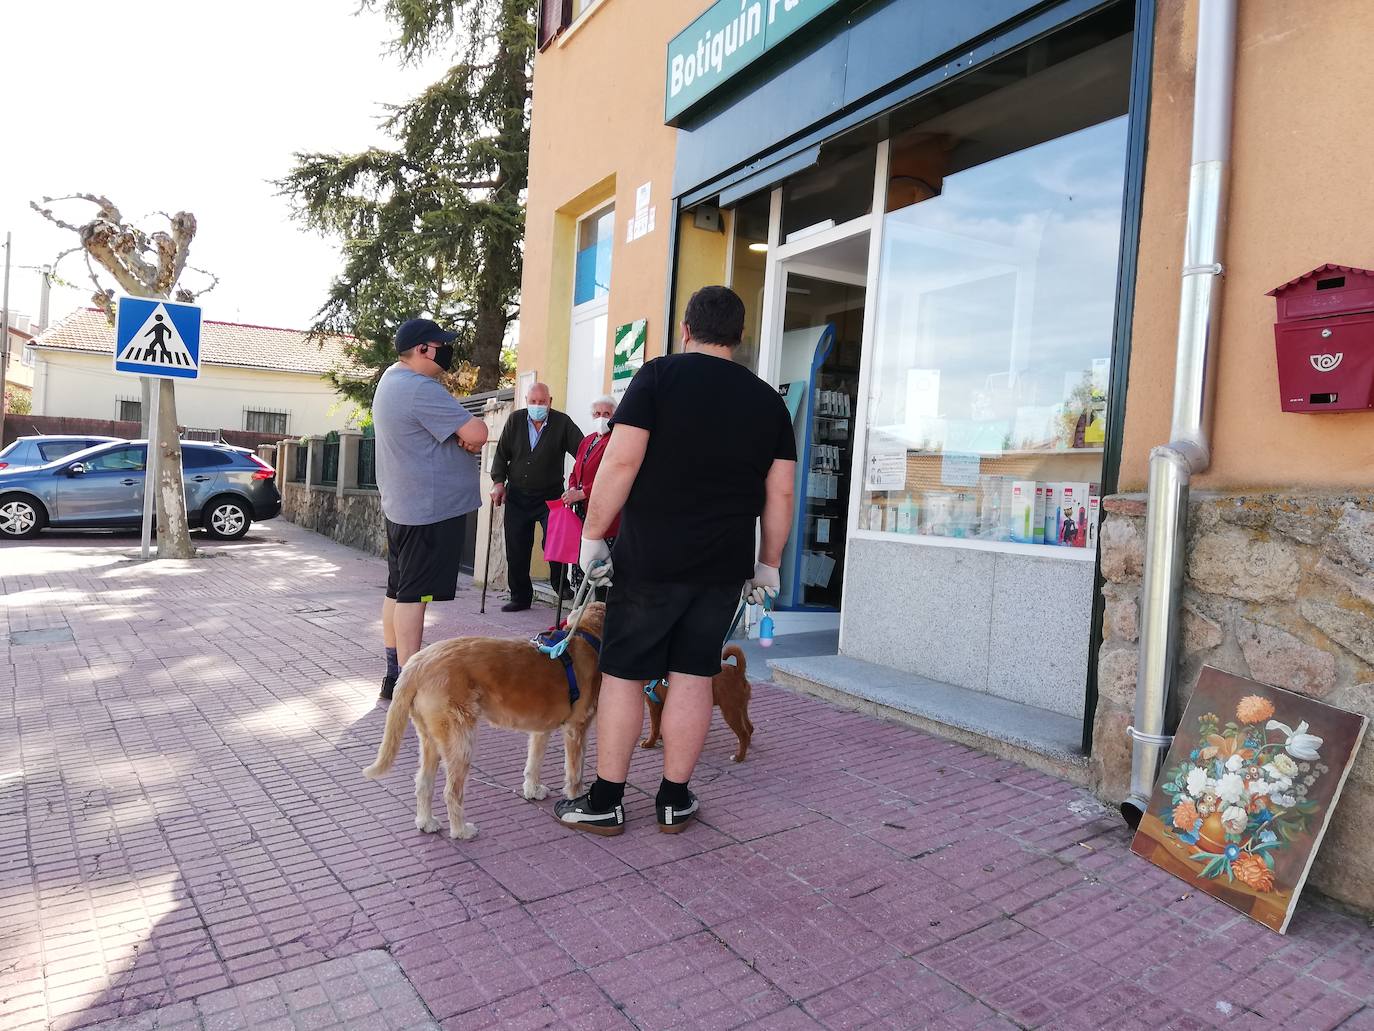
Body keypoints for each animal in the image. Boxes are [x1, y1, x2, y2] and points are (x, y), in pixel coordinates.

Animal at [362, 604, 604, 841]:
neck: (587, 636)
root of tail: (416, 665)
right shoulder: (577, 729)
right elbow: (575, 771)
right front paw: (575, 797)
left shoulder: (540, 730)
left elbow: (534, 763)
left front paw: (532, 789)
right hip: (461, 741)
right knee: (451, 792)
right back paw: (460, 830)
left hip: (431, 738)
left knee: (423, 784)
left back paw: (426, 822)